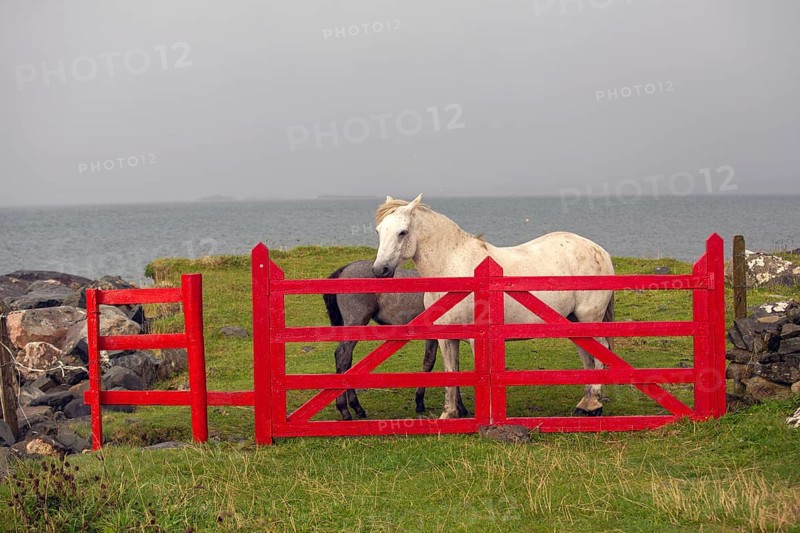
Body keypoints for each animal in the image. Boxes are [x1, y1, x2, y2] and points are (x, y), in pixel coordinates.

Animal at [323, 260, 468, 420]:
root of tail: (345, 268)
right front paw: (459, 407)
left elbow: (435, 363)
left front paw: (421, 402)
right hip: (356, 324)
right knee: (342, 357)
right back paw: (345, 410)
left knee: (347, 360)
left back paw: (357, 408)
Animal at [371, 194, 615, 419]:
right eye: (379, 231)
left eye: (402, 232)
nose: (379, 270)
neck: (453, 266)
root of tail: (599, 250)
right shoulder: (446, 336)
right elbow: (451, 372)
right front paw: (449, 414)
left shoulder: (475, 338)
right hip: (574, 323)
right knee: (588, 357)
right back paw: (585, 404)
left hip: (589, 319)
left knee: (600, 354)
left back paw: (593, 404)